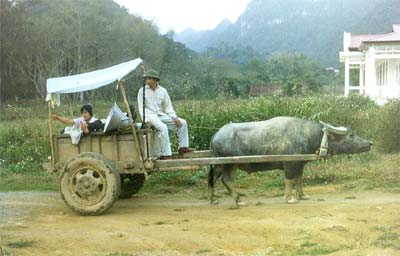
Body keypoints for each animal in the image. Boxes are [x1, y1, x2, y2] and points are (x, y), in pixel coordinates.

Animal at [209, 116, 372, 208]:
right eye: (351, 135)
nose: (370, 143)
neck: (307, 135)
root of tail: (216, 135)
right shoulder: (289, 164)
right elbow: (289, 180)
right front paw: (290, 198)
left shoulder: (299, 164)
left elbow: (299, 179)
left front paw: (303, 195)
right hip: (229, 164)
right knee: (225, 179)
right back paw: (238, 200)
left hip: (222, 164)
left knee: (213, 178)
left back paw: (213, 200)